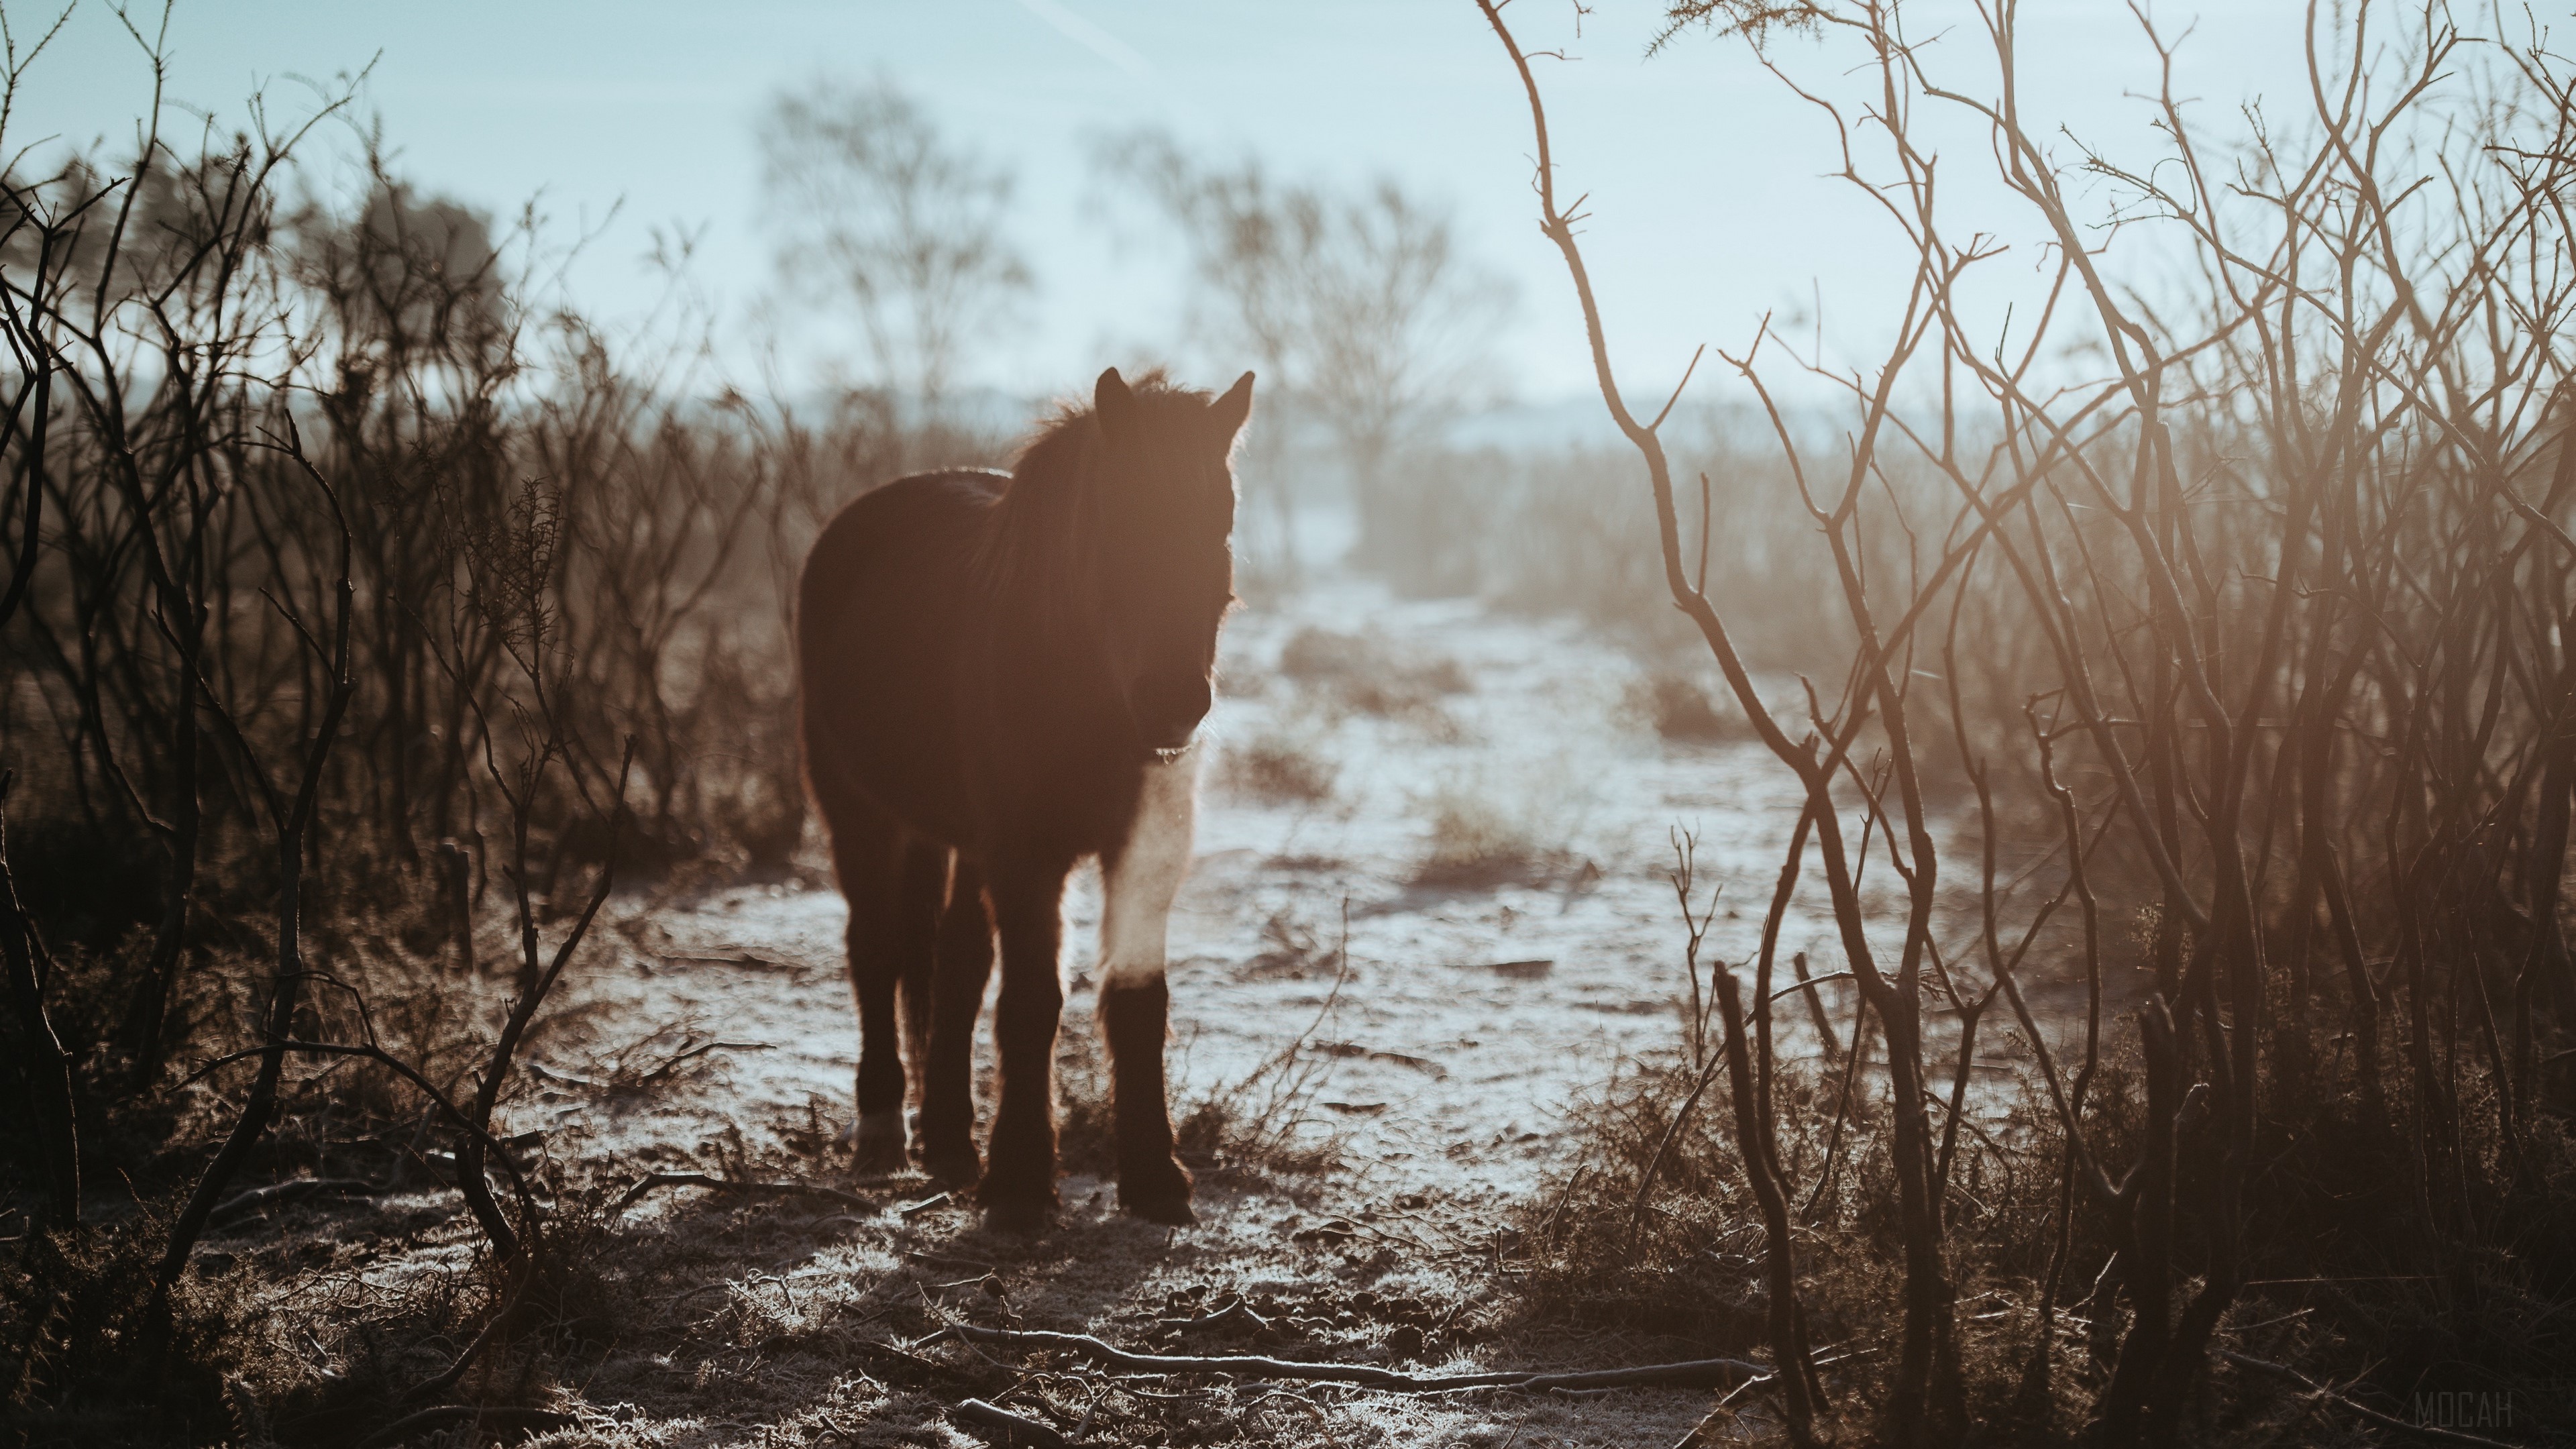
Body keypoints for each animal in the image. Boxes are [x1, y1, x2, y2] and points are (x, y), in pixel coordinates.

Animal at [796, 366, 1252, 1231]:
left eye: (1220, 525)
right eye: (1118, 523)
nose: (1174, 701)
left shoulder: (1144, 850)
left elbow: (1135, 1001)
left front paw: (1154, 1177)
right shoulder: (1027, 854)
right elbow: (1033, 1001)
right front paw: (1017, 1182)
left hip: (956, 838)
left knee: (952, 960)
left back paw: (947, 1139)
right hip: (860, 813)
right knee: (874, 950)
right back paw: (882, 1128)